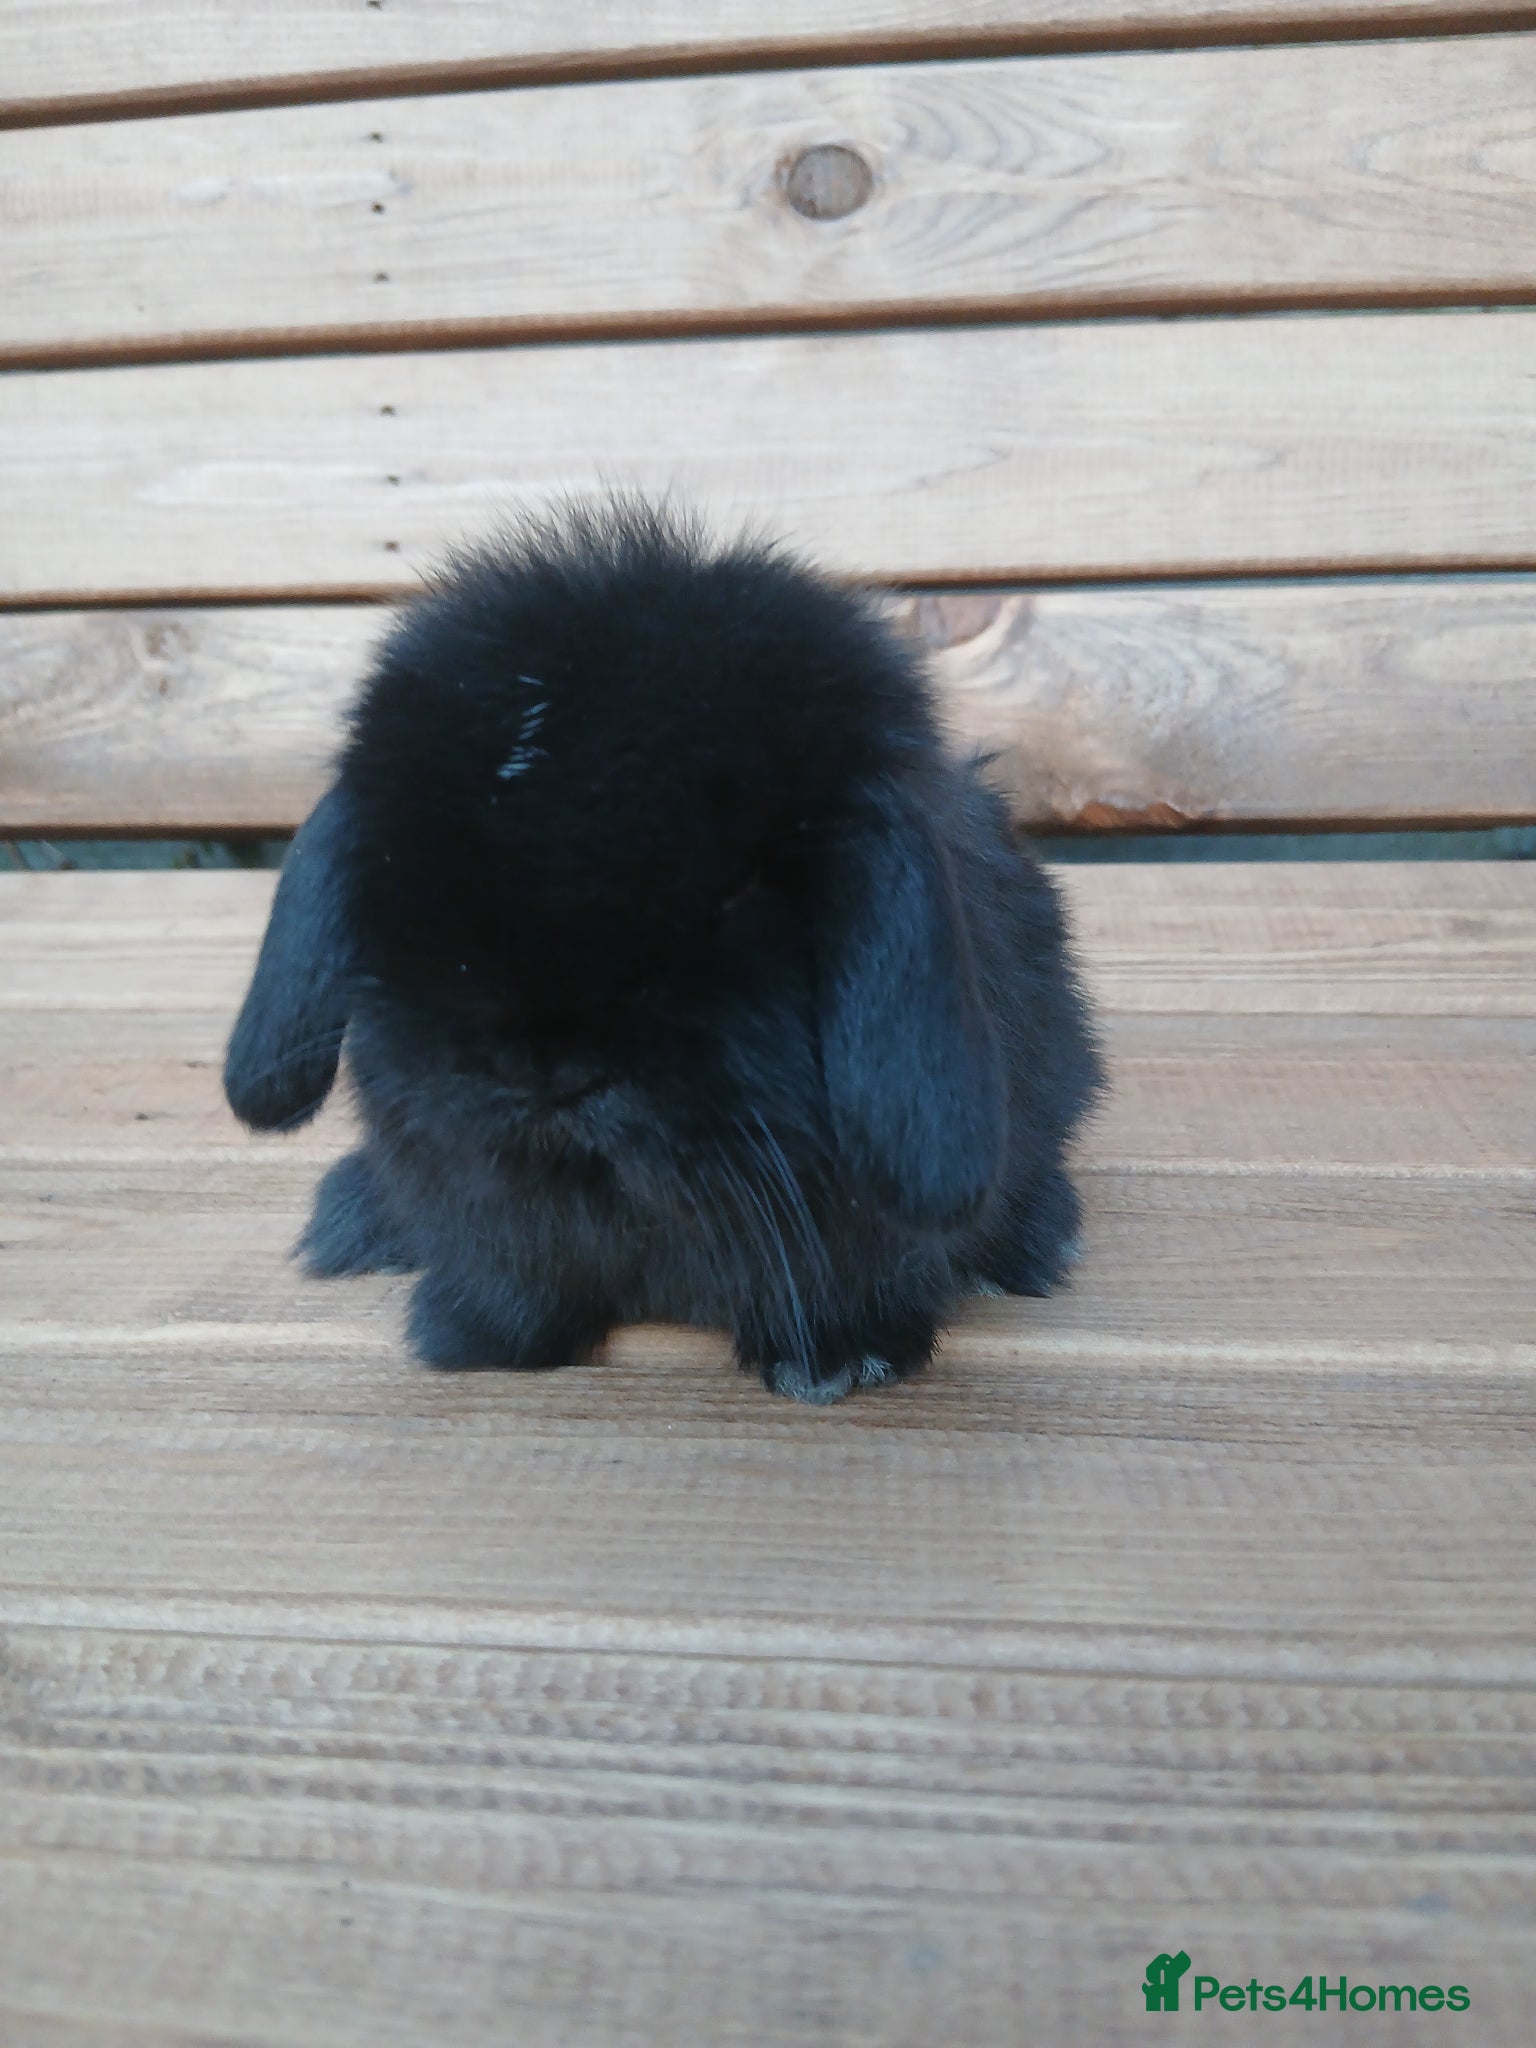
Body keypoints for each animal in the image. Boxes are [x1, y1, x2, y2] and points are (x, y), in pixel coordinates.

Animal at [224, 499, 1101, 1402]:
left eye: (741, 885)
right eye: (411, 863)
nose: (547, 1068)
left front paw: (838, 1361)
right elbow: (513, 1272)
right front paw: (472, 1334)